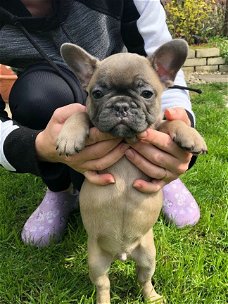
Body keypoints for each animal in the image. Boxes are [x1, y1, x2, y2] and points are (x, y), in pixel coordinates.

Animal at [56, 40, 207, 304]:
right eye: (97, 93)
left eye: (147, 93)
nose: (121, 105)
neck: (125, 139)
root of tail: (122, 254)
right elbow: (79, 113)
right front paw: (69, 136)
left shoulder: (157, 127)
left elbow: (171, 122)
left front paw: (191, 135)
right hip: (96, 261)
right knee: (103, 285)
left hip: (148, 255)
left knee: (143, 279)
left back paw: (153, 297)